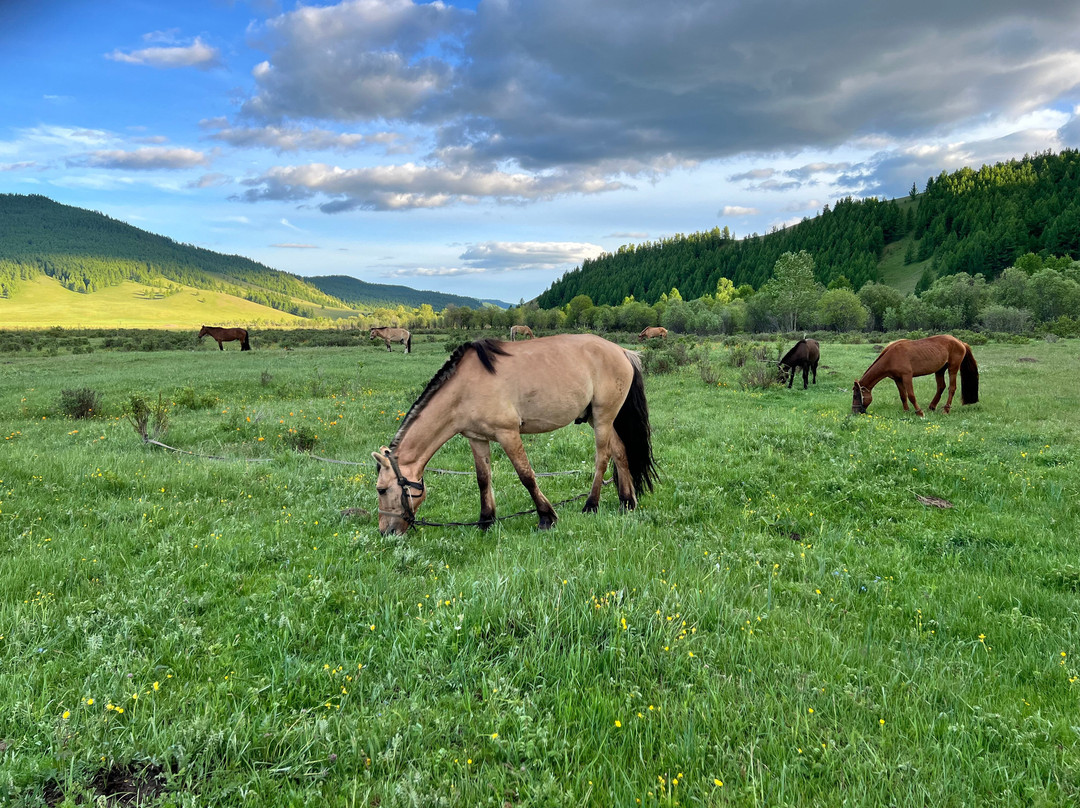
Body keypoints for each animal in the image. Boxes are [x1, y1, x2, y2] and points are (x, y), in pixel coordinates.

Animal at [371, 334, 658, 535]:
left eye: (381, 489)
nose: (386, 532)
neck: (464, 388)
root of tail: (622, 352)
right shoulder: (477, 439)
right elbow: (483, 479)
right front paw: (486, 521)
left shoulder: (508, 434)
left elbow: (526, 476)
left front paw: (546, 517)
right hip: (597, 418)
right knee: (620, 451)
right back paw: (626, 502)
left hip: (602, 417)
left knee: (603, 456)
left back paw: (591, 504)